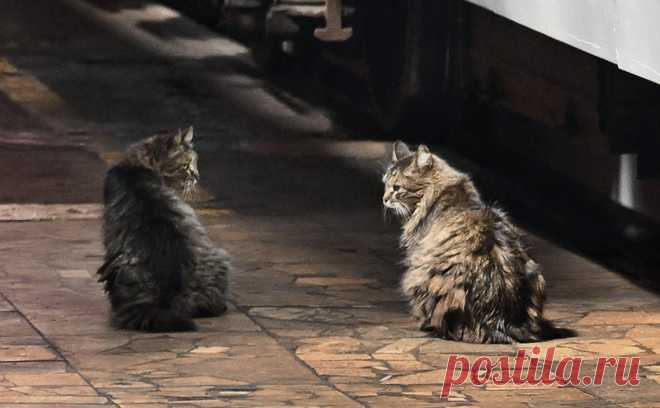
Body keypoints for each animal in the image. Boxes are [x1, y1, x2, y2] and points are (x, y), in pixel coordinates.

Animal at [382, 142, 572, 342]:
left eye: (396, 188)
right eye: (385, 184)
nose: (384, 199)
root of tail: (502, 320)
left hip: (423, 276)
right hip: (535, 273)